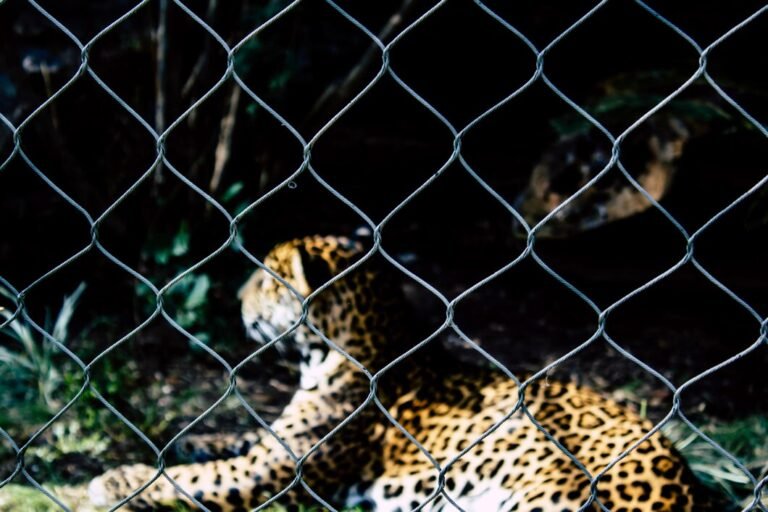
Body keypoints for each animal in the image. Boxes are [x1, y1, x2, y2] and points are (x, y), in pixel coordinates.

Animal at [90, 236, 712, 512]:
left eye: (268, 279)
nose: (236, 300)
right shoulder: (271, 445)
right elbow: (231, 441)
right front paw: (188, 440)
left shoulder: (272, 472)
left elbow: (197, 478)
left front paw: (117, 480)